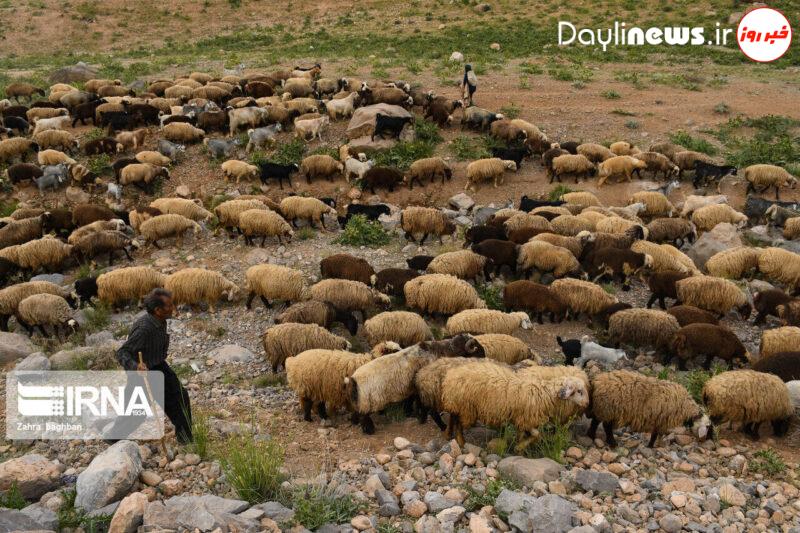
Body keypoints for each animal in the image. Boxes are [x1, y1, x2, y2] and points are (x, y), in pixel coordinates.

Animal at [440, 362, 592, 444]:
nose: (587, 404)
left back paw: (448, 434)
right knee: (459, 422)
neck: (544, 393)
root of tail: (451, 376)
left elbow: (527, 434)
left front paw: (519, 446)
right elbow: (536, 434)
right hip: (465, 407)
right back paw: (461, 441)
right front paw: (521, 446)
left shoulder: (521, 418)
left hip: (458, 404)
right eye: (579, 391)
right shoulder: (527, 418)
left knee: (453, 417)